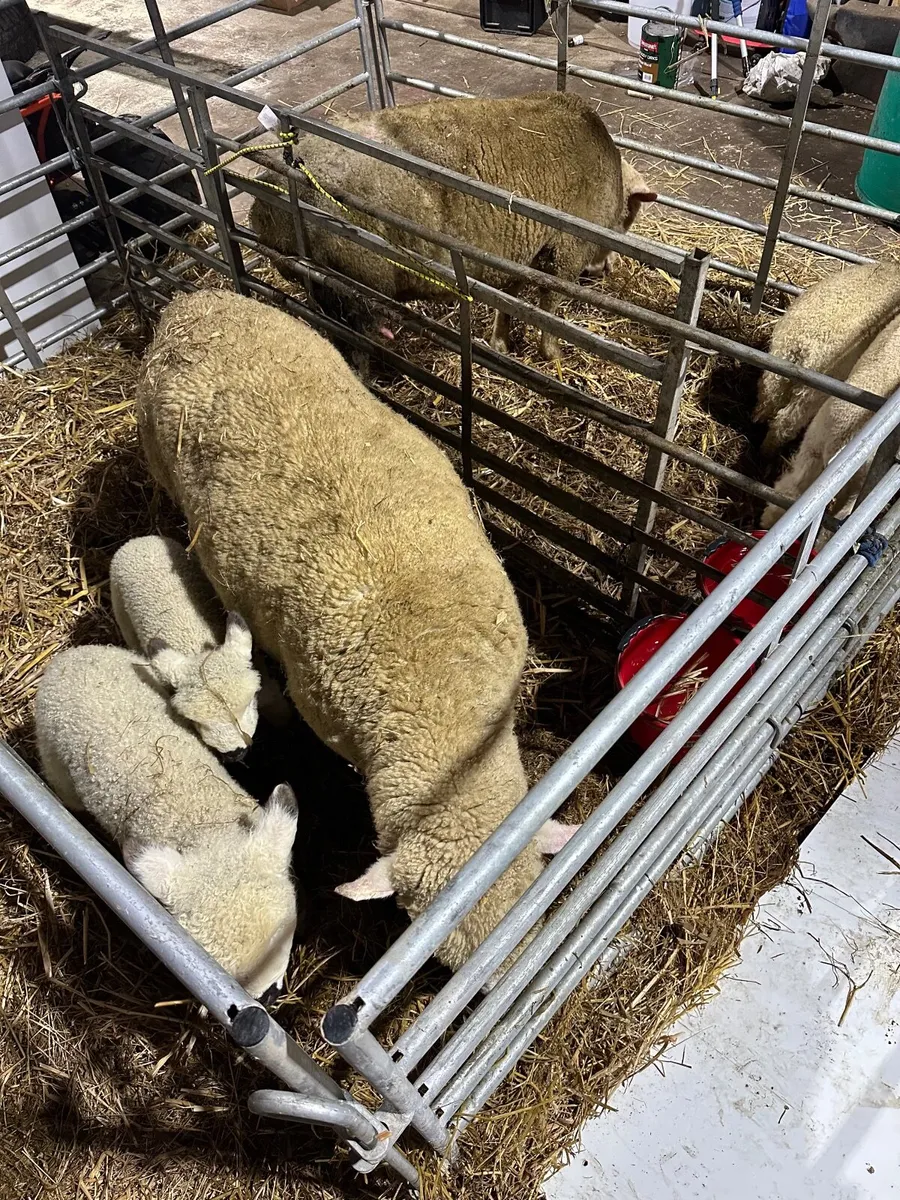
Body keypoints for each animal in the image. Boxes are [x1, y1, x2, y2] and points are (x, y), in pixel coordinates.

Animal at [248, 91, 656, 362]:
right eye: (630, 217)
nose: (607, 268)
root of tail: (272, 202)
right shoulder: (566, 253)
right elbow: (549, 309)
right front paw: (553, 356)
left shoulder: (519, 253)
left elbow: (509, 301)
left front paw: (500, 345)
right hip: (354, 281)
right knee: (357, 339)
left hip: (317, 279)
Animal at [754, 262, 900, 458]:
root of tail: (803, 342)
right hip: (815, 389)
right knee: (786, 422)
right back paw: (769, 451)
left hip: (777, 361)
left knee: (767, 398)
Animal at [761, 312, 900, 530]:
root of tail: (841, 441)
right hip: (859, 478)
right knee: (843, 517)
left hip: (812, 445)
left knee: (789, 491)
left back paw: (766, 522)